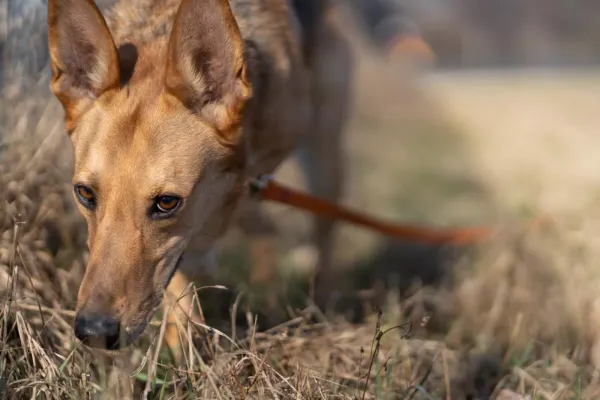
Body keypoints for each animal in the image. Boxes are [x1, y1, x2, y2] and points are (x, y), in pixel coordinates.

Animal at [49, 0, 354, 360]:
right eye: (85, 193)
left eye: (167, 202)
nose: (94, 332)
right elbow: (180, 284)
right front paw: (180, 353)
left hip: (324, 152)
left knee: (323, 230)